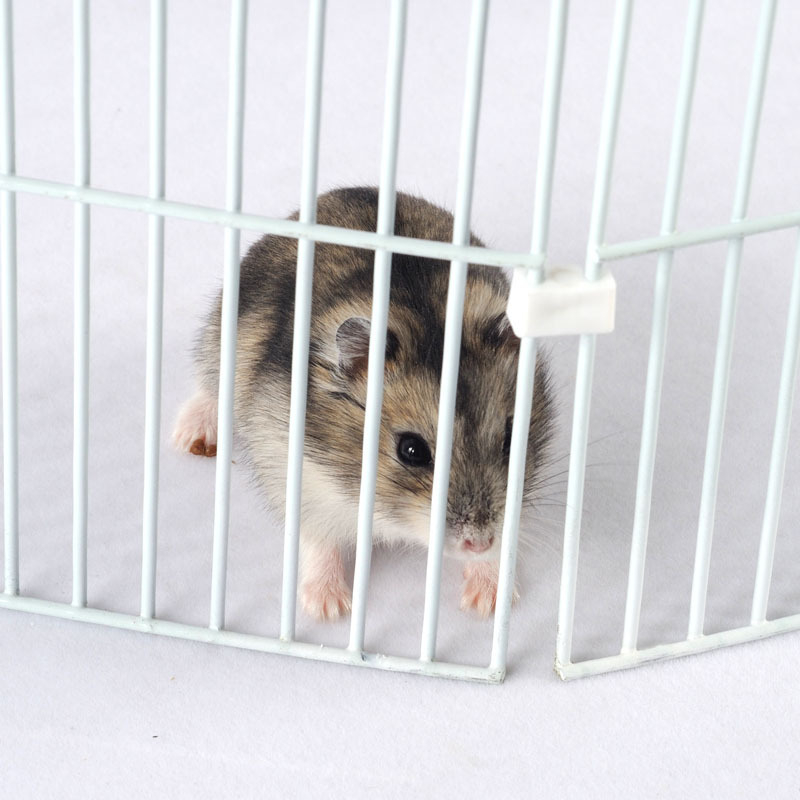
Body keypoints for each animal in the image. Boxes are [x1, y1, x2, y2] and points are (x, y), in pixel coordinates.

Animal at [173, 187, 554, 620]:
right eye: (411, 450)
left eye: (511, 439)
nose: (478, 541)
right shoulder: (298, 475)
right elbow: (319, 541)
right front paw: (329, 610)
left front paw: (487, 604)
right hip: (219, 337)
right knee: (209, 387)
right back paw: (190, 436)